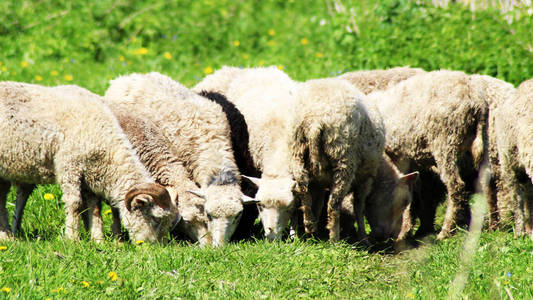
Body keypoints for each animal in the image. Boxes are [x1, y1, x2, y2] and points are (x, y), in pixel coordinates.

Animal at [0, 81, 179, 241]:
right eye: (155, 218)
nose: (155, 247)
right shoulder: (69, 167)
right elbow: (75, 204)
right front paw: (72, 239)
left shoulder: (90, 174)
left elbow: (95, 208)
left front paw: (98, 240)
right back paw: (7, 236)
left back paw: (7, 235)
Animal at [364, 69, 488, 239]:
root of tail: (475, 100)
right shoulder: (409, 160)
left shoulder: (398, 158)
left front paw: (404, 231)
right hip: (476, 147)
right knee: (481, 184)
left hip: (446, 141)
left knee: (456, 186)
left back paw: (446, 231)